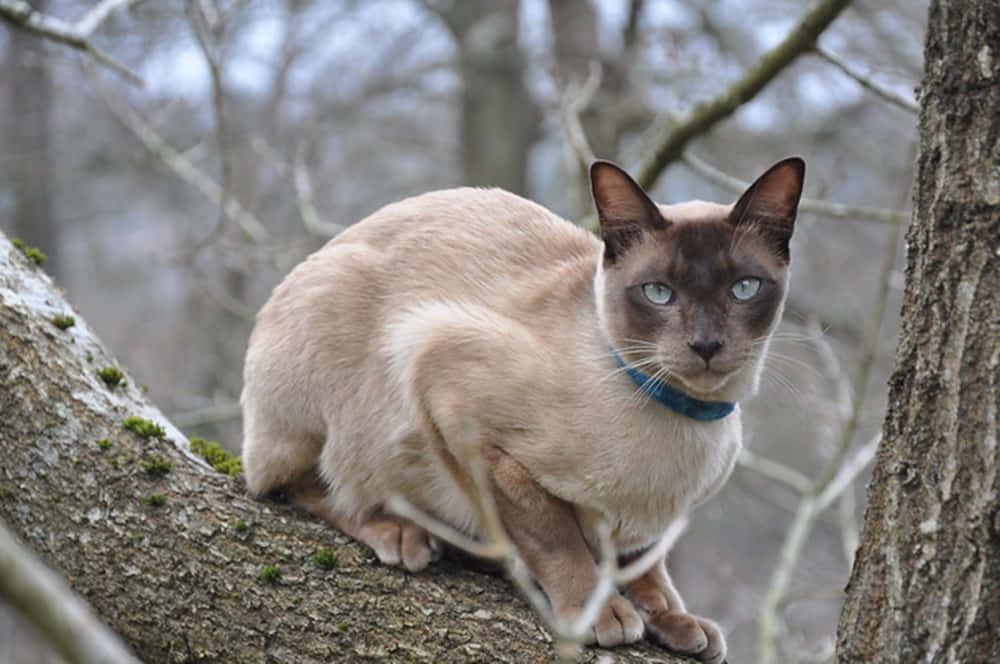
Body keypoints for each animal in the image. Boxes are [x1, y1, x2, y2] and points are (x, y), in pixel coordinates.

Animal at [240, 157, 804, 664]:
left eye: (744, 288)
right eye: (659, 293)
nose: (705, 345)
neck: (685, 418)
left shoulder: (653, 523)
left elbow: (648, 565)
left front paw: (674, 620)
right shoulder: (461, 408)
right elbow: (554, 539)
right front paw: (598, 613)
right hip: (342, 374)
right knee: (293, 483)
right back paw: (404, 535)